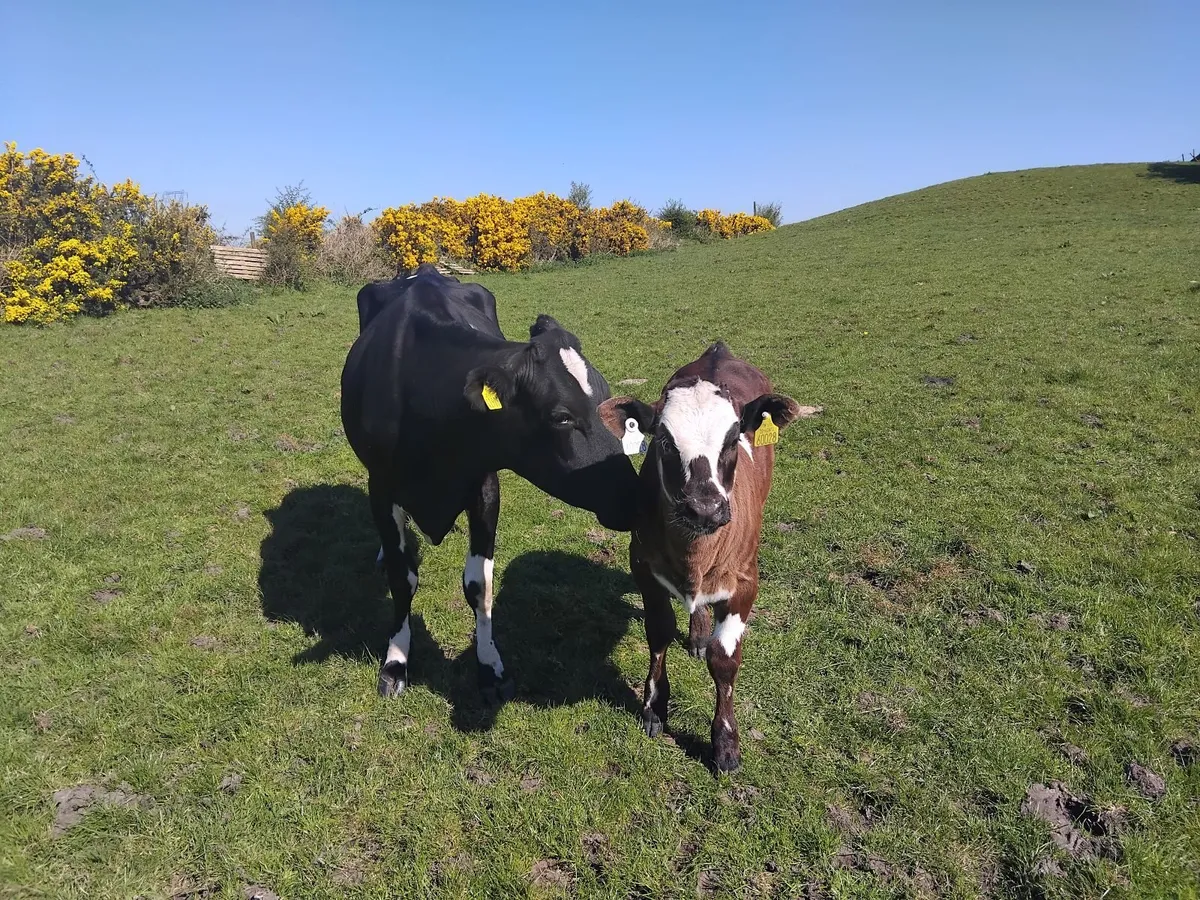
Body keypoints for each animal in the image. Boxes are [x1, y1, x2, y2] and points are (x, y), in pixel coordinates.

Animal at [342, 264, 640, 702]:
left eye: (606, 398)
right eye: (561, 416)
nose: (637, 497)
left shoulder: (484, 486)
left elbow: (478, 585)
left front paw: (490, 667)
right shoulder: (380, 486)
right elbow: (402, 578)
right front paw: (396, 662)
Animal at [597, 342, 820, 772]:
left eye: (733, 440)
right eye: (665, 442)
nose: (704, 508)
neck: (694, 554)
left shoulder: (746, 583)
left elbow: (724, 660)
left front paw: (725, 742)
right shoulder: (643, 567)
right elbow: (658, 633)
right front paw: (654, 707)